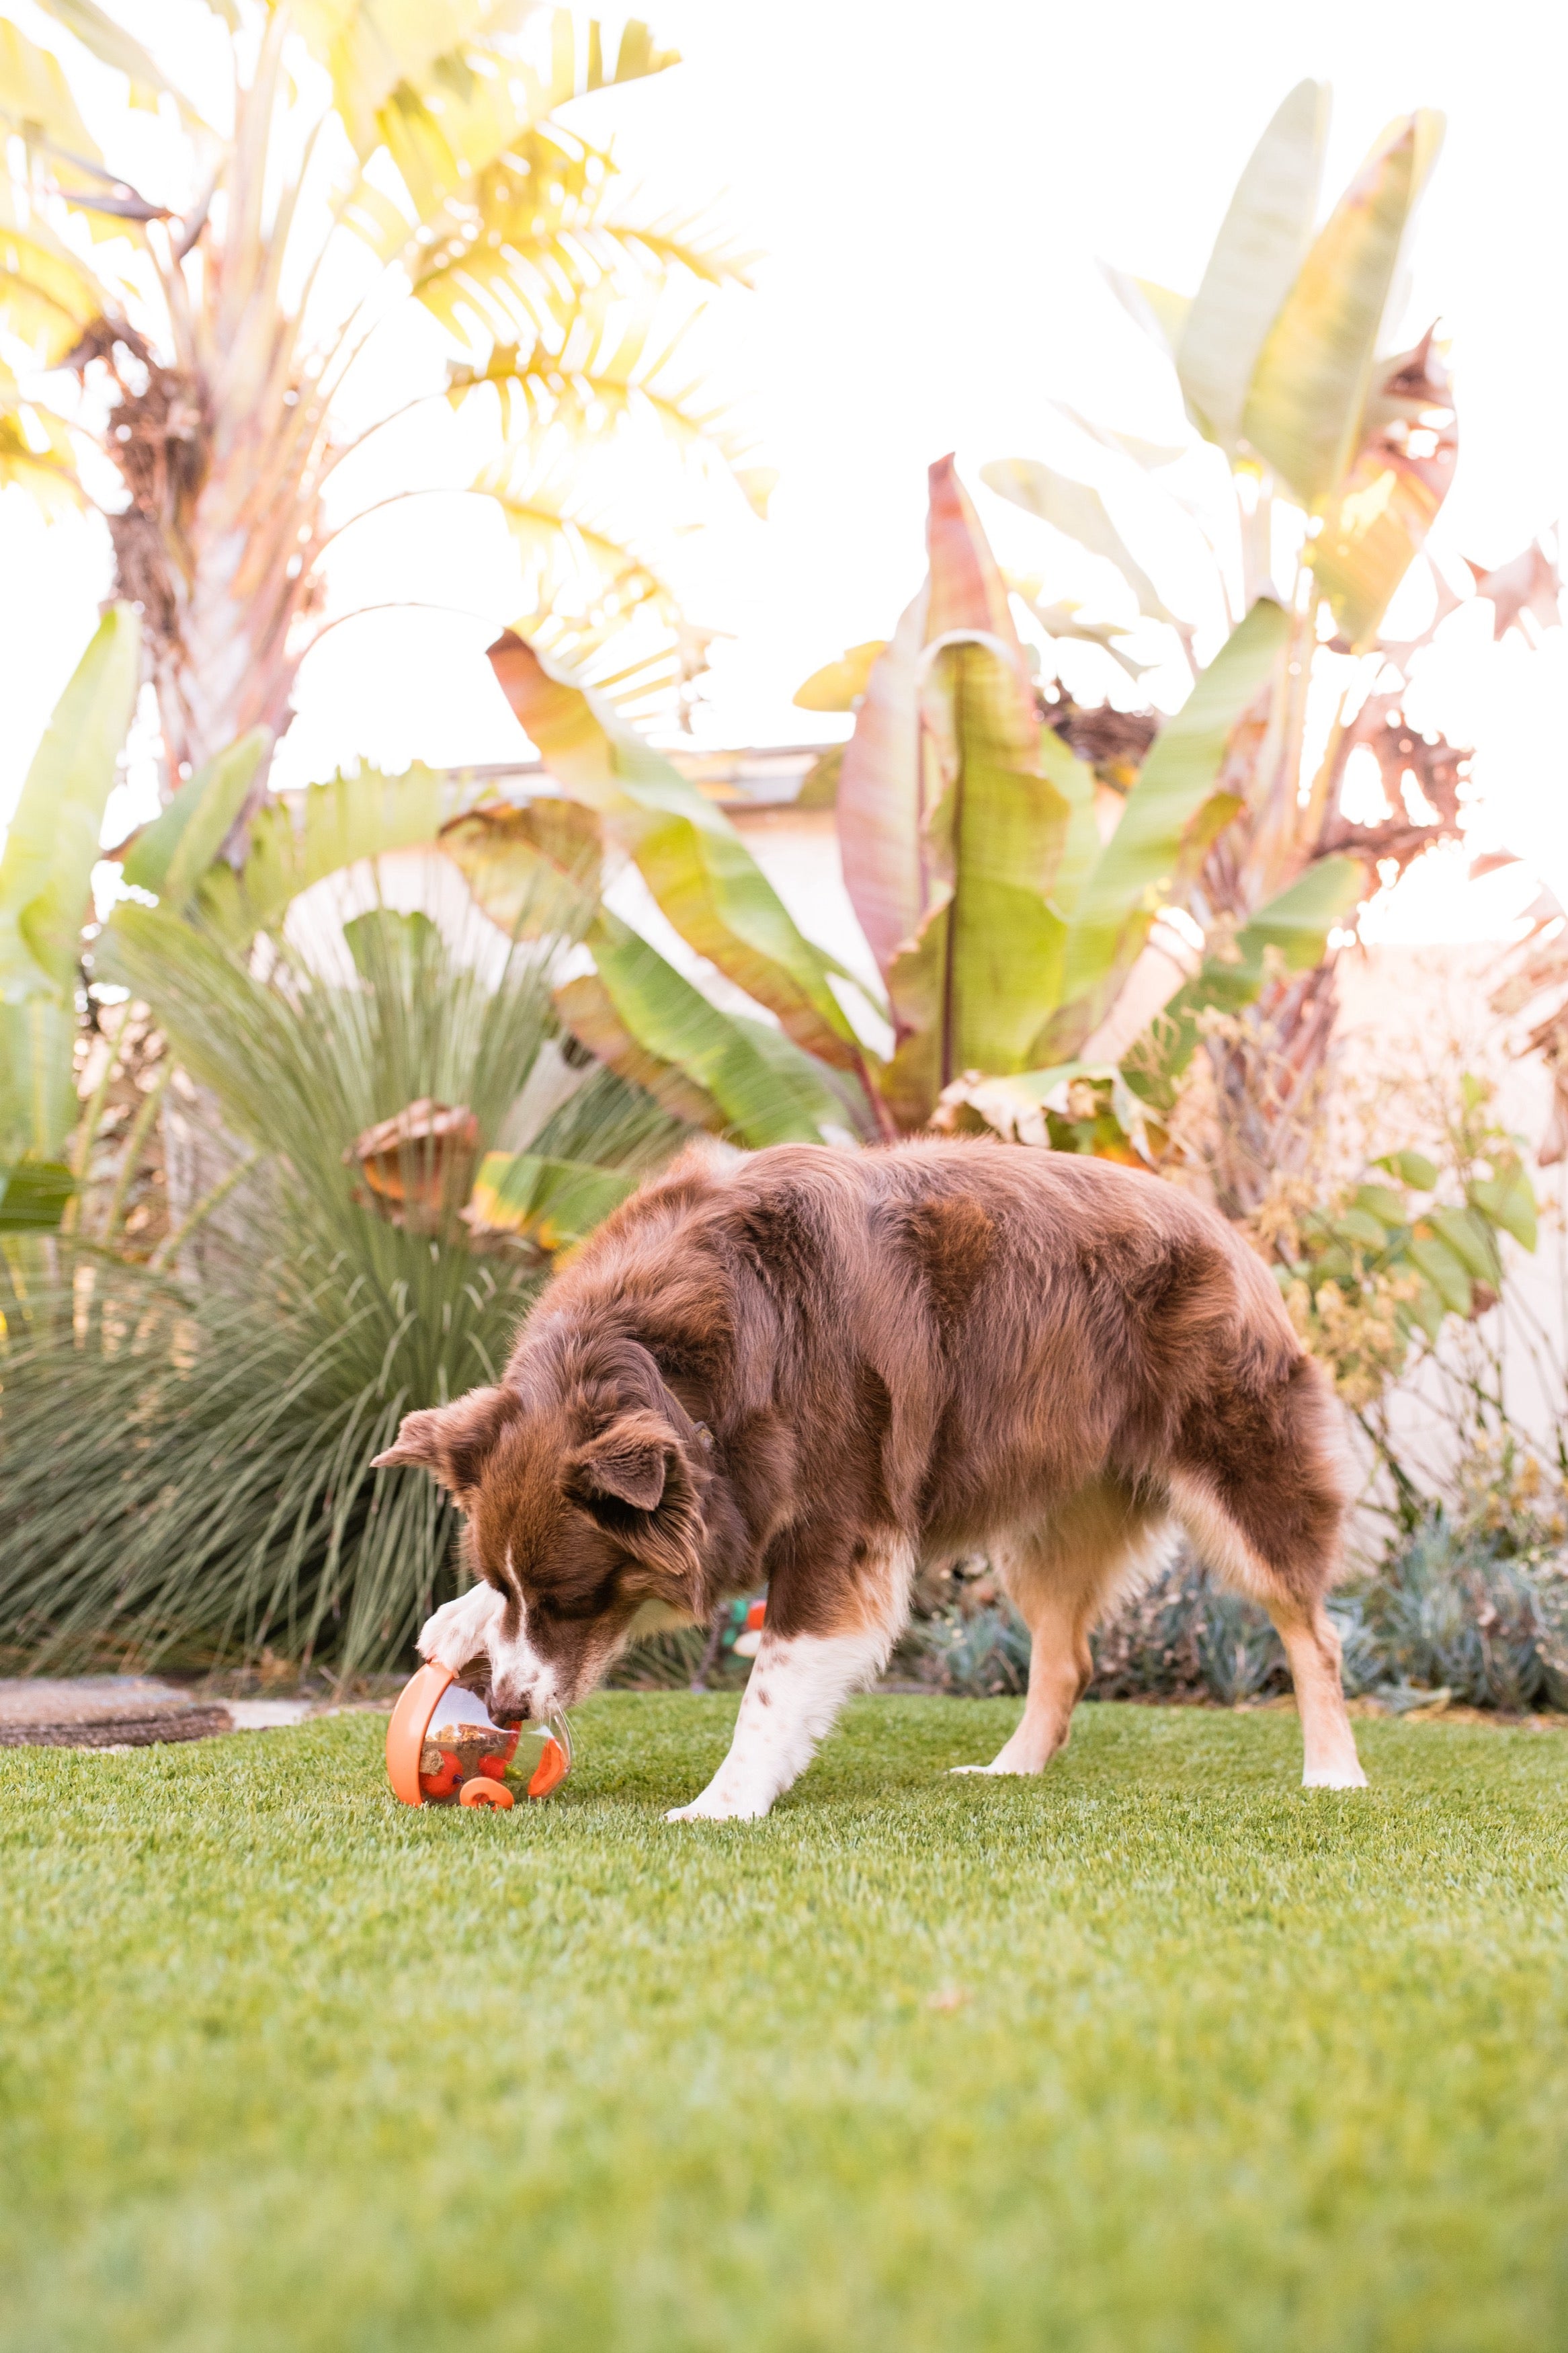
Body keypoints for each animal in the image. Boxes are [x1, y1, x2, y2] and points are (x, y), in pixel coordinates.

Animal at [374, 1139, 1363, 1817]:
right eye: (516, 1589)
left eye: (573, 1597)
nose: (504, 1707)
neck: (668, 1358)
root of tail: (1223, 1222)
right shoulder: (727, 1504)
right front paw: (461, 1616)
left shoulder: (835, 1522)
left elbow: (773, 1681)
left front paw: (723, 1802)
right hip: (1048, 1518)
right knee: (1067, 1656)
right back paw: (1008, 1770)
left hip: (1242, 1475)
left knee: (1312, 1632)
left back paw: (1333, 1771)